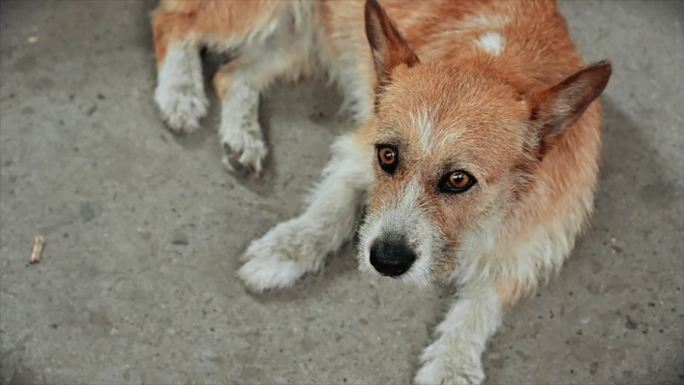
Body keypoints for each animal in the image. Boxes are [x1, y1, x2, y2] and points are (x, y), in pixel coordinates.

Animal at [152, 1, 612, 382]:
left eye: (459, 179)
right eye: (387, 155)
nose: (386, 261)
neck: (493, 62)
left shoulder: (531, 241)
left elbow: (480, 306)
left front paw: (452, 364)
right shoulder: (357, 151)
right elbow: (329, 213)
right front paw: (285, 251)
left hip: (299, 42)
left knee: (231, 74)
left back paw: (241, 137)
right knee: (173, 21)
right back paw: (179, 93)